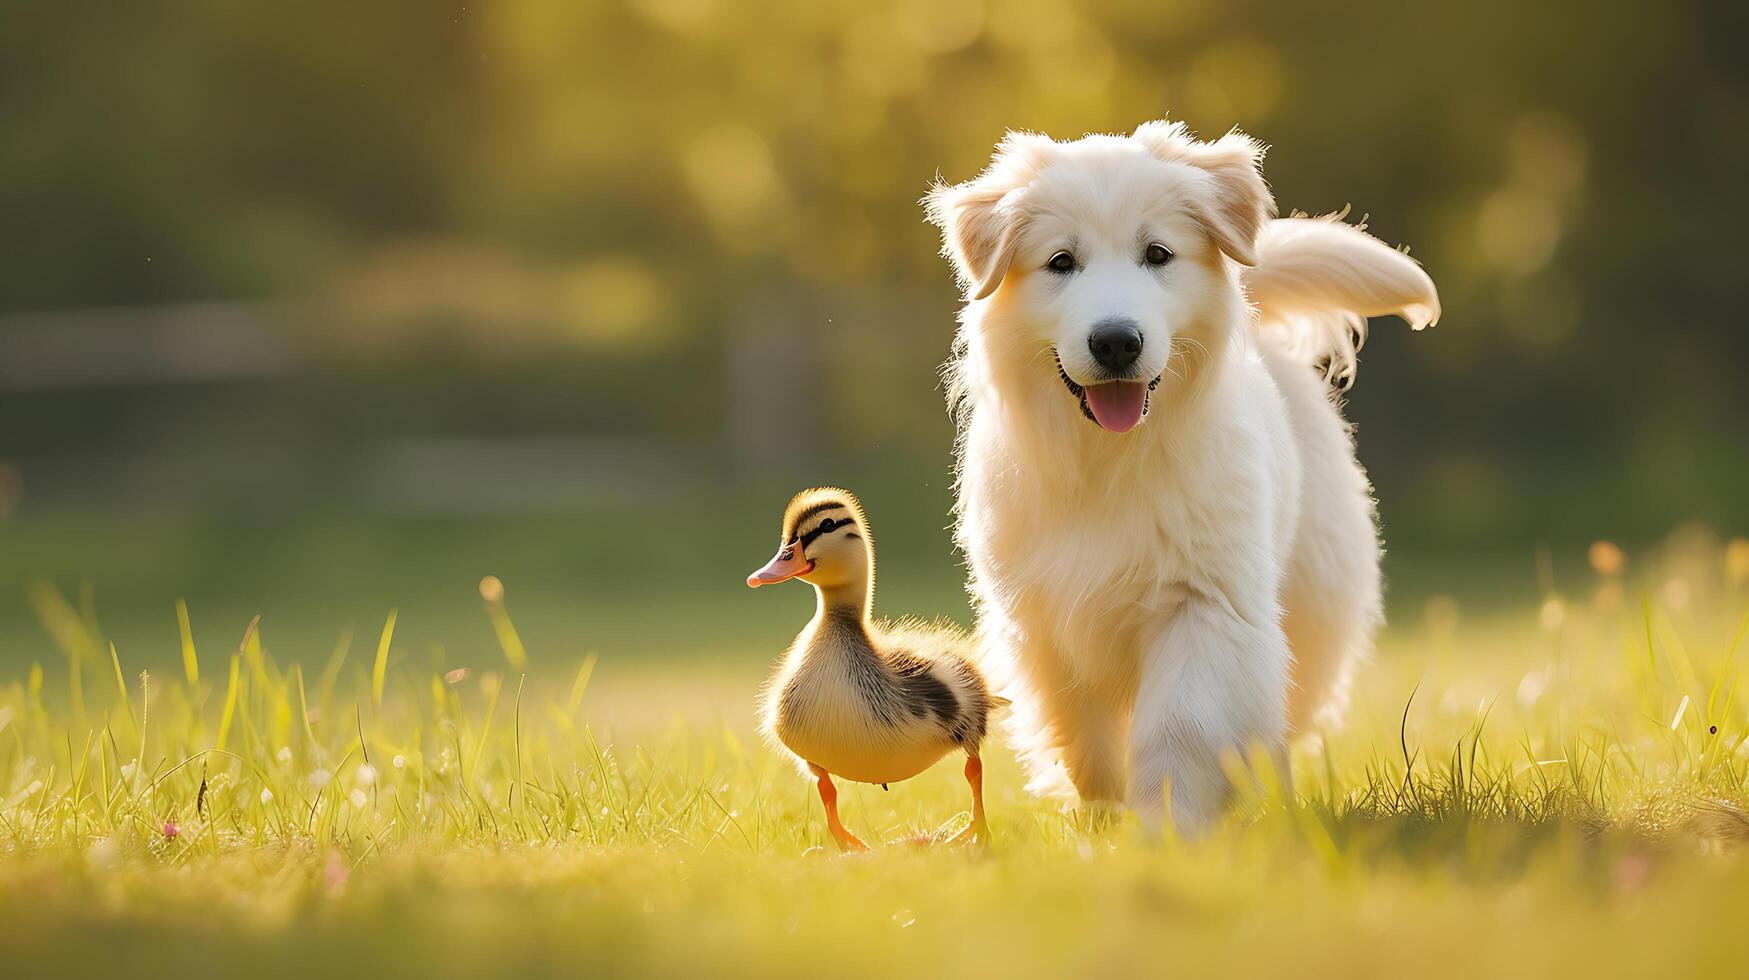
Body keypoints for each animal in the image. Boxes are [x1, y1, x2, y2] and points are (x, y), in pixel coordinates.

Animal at [923, 119, 1441, 829]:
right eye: (1061, 262)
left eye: (1158, 253)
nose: (1117, 342)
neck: (1110, 460)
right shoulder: (1046, 621)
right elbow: (1085, 738)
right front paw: (1102, 822)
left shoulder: (1203, 604)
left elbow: (1180, 725)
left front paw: (1168, 825)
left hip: (1309, 613)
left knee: (1278, 717)